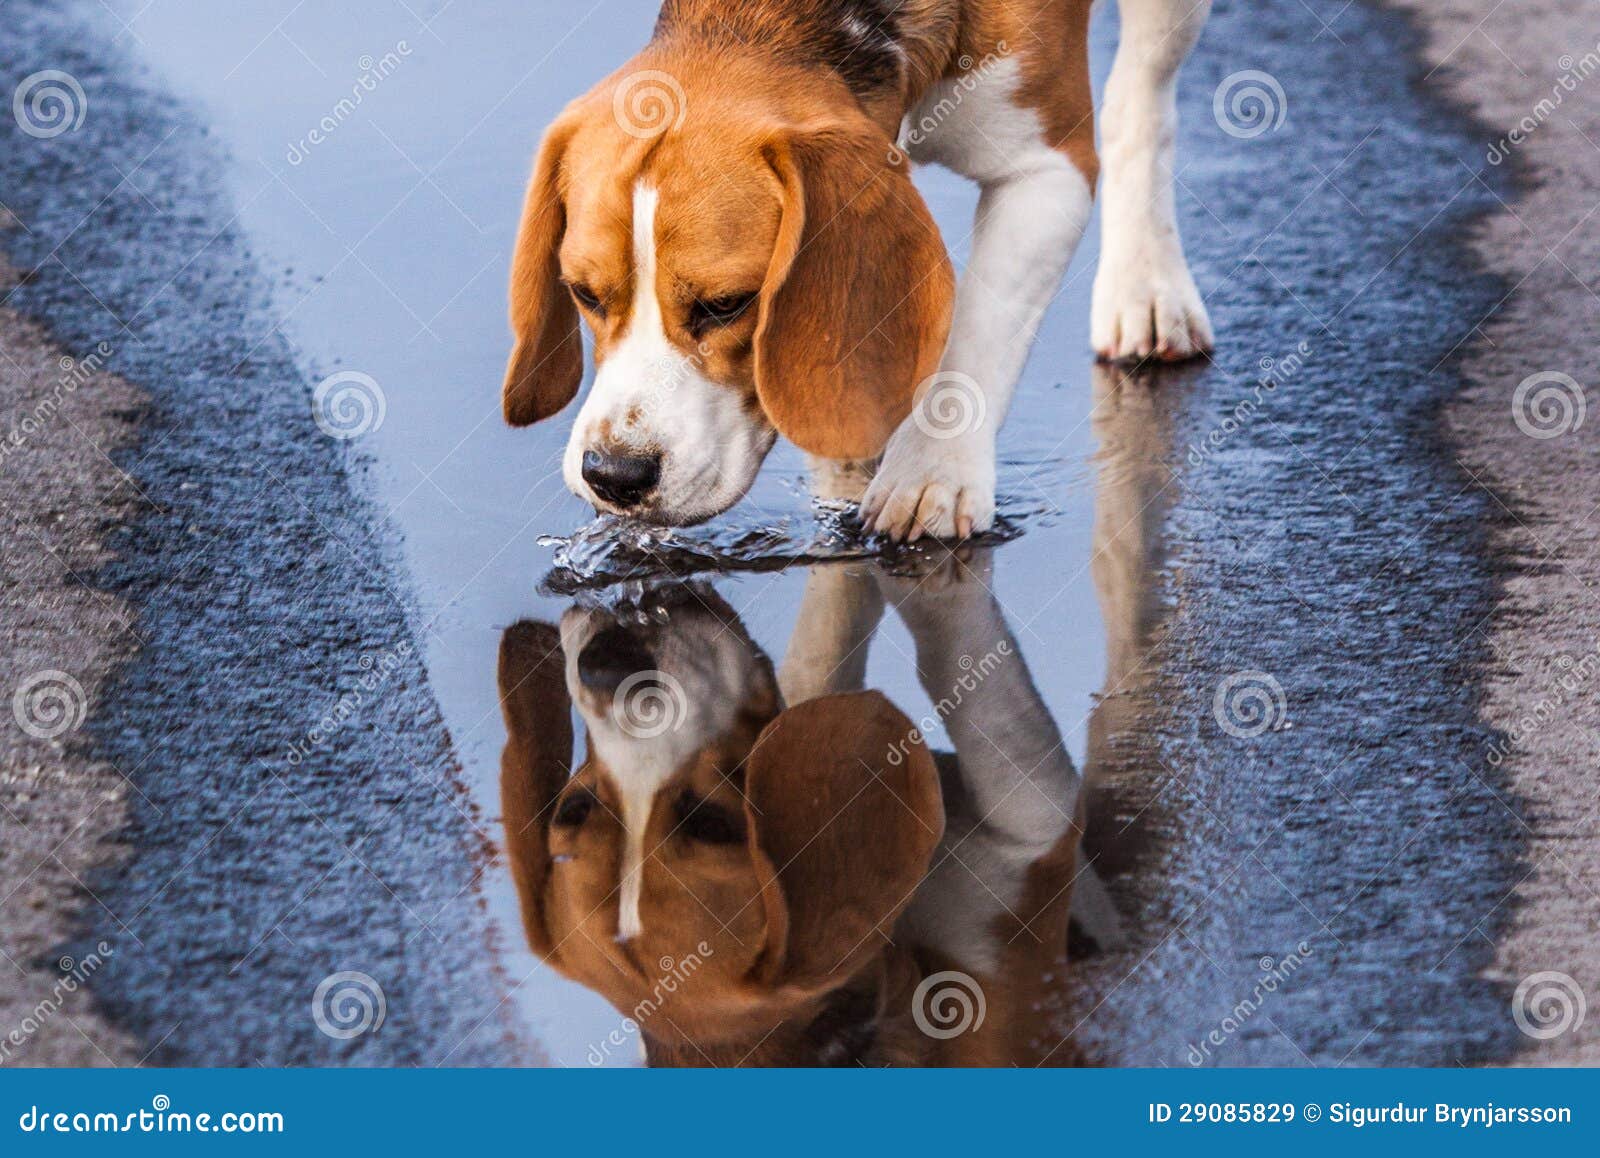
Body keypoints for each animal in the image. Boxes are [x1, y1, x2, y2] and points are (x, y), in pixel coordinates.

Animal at [499, 0, 1209, 540]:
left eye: (728, 304)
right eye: (585, 294)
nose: (613, 476)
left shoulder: (1046, 168)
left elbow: (978, 337)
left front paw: (932, 474)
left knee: (1141, 94)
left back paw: (1146, 285)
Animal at [499, 553, 1126, 1068]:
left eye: (573, 807)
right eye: (717, 824)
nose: (605, 662)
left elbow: (820, 653)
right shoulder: (1028, 842)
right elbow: (971, 677)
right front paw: (932, 577)